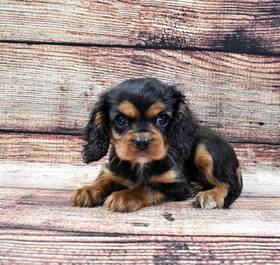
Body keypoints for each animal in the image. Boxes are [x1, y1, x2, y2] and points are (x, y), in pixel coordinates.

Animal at [70, 77, 243, 211]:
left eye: (162, 119)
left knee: (230, 184)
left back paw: (211, 195)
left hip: (204, 150)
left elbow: (147, 187)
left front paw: (124, 196)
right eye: (121, 120)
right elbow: (104, 180)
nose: (142, 142)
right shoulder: (113, 172)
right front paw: (87, 191)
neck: (140, 164)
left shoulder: (177, 186)